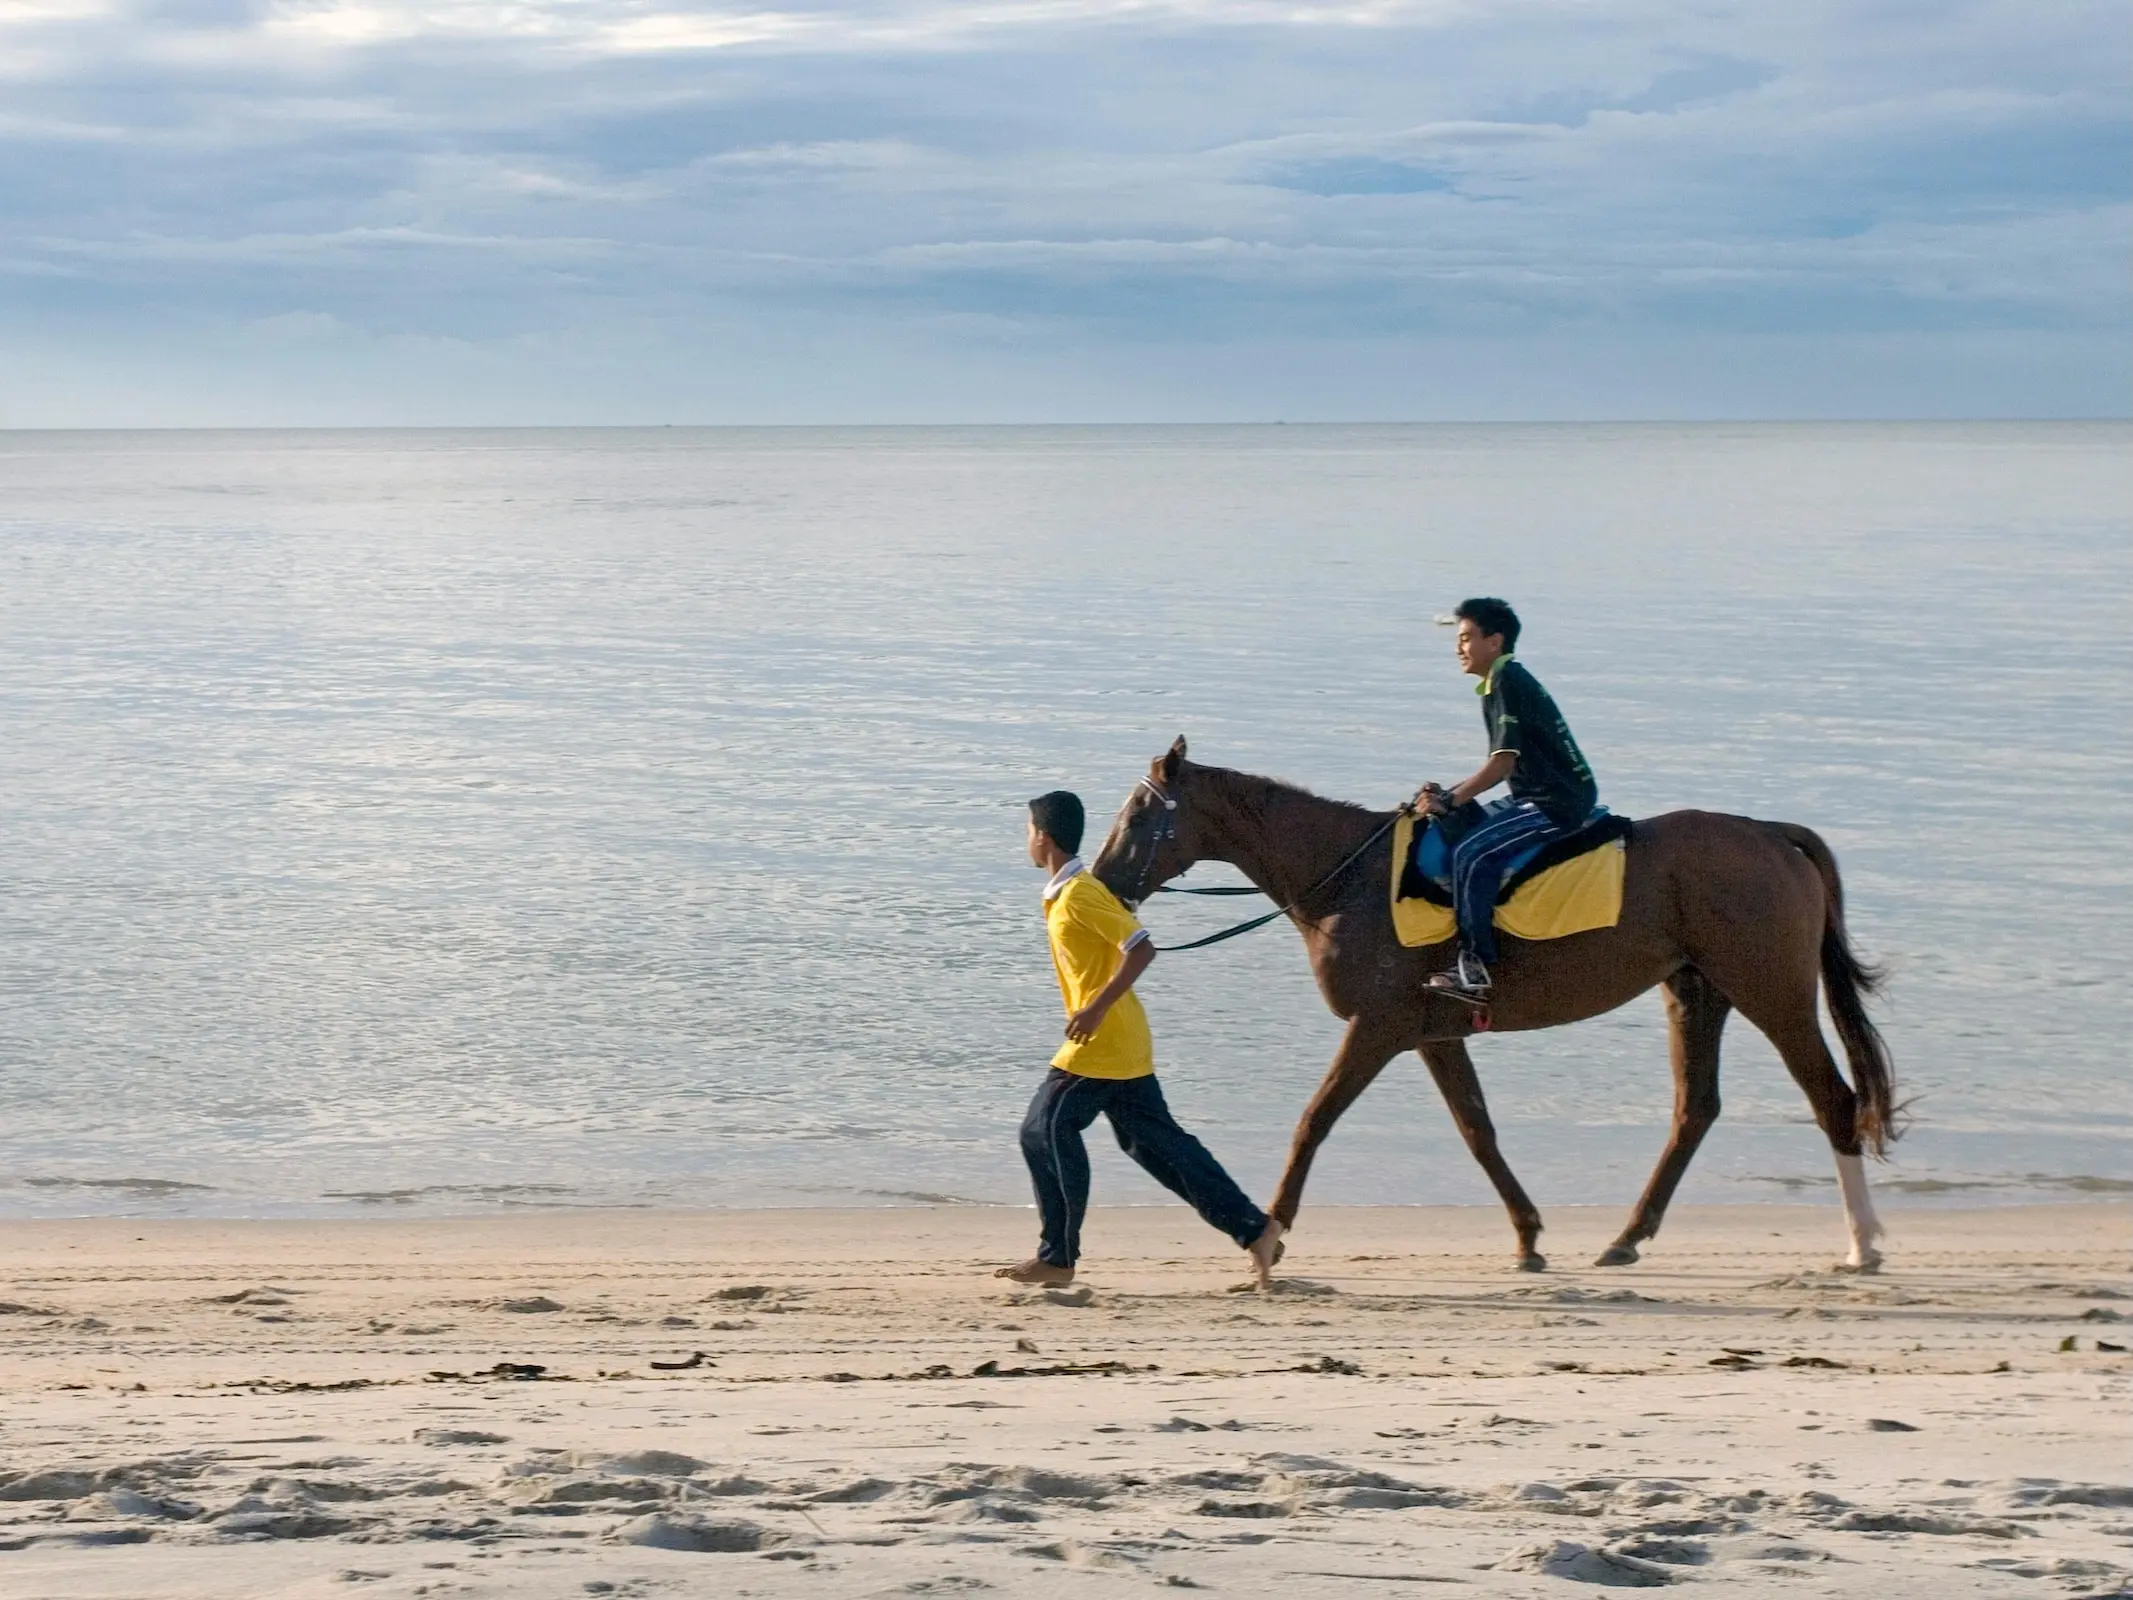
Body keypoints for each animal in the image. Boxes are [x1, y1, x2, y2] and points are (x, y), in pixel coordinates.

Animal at [1089, 737, 1899, 1274]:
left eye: (1138, 816)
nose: (1103, 880)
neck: (1347, 878)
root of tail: (1769, 834)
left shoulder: (1377, 1028)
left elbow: (1313, 1121)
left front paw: (1269, 1239)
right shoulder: (1431, 1034)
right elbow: (1477, 1131)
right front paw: (1529, 1236)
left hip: (1771, 994)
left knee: (1831, 1098)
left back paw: (1862, 1244)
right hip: (1697, 993)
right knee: (1694, 1110)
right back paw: (1626, 1237)